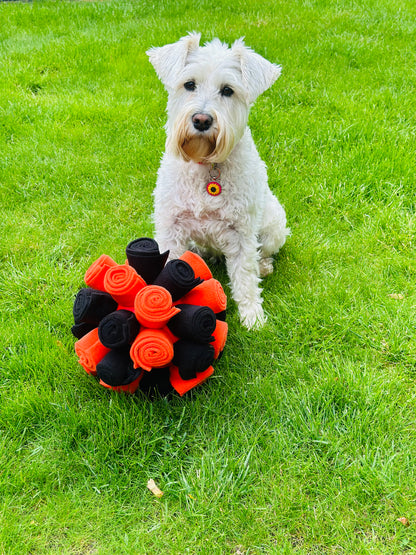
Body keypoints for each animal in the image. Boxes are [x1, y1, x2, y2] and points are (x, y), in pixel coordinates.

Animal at [147, 33, 290, 330]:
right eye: (189, 84)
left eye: (228, 90)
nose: (202, 120)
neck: (206, 165)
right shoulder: (171, 228)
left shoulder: (242, 232)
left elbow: (245, 276)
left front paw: (252, 317)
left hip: (274, 226)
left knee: (262, 254)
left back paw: (264, 265)